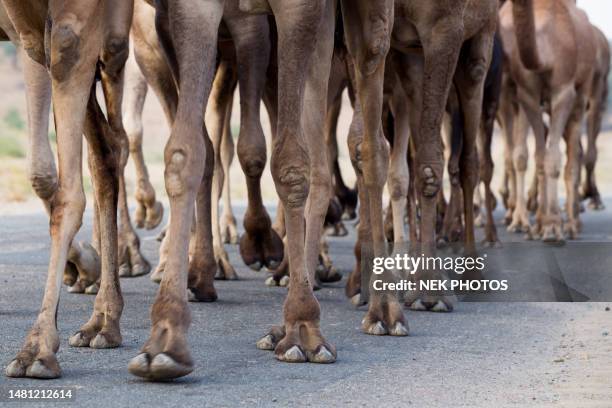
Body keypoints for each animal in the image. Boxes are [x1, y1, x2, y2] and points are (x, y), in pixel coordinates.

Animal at [500, 0, 596, 242]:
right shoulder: (526, 94)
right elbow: (539, 158)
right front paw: (541, 225)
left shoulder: (563, 90)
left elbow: (553, 158)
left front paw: (553, 227)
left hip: (583, 89)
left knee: (574, 154)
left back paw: (572, 224)